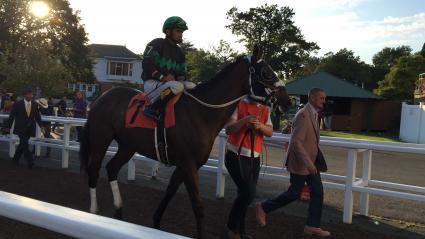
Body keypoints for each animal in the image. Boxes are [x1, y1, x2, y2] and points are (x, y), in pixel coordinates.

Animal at [78, 45, 292, 239]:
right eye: (266, 72)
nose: (288, 101)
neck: (201, 112)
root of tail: (101, 98)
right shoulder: (188, 164)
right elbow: (198, 205)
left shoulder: (185, 165)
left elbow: (170, 192)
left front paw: (156, 222)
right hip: (101, 140)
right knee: (94, 171)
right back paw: (93, 211)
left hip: (128, 146)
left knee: (112, 168)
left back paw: (118, 211)